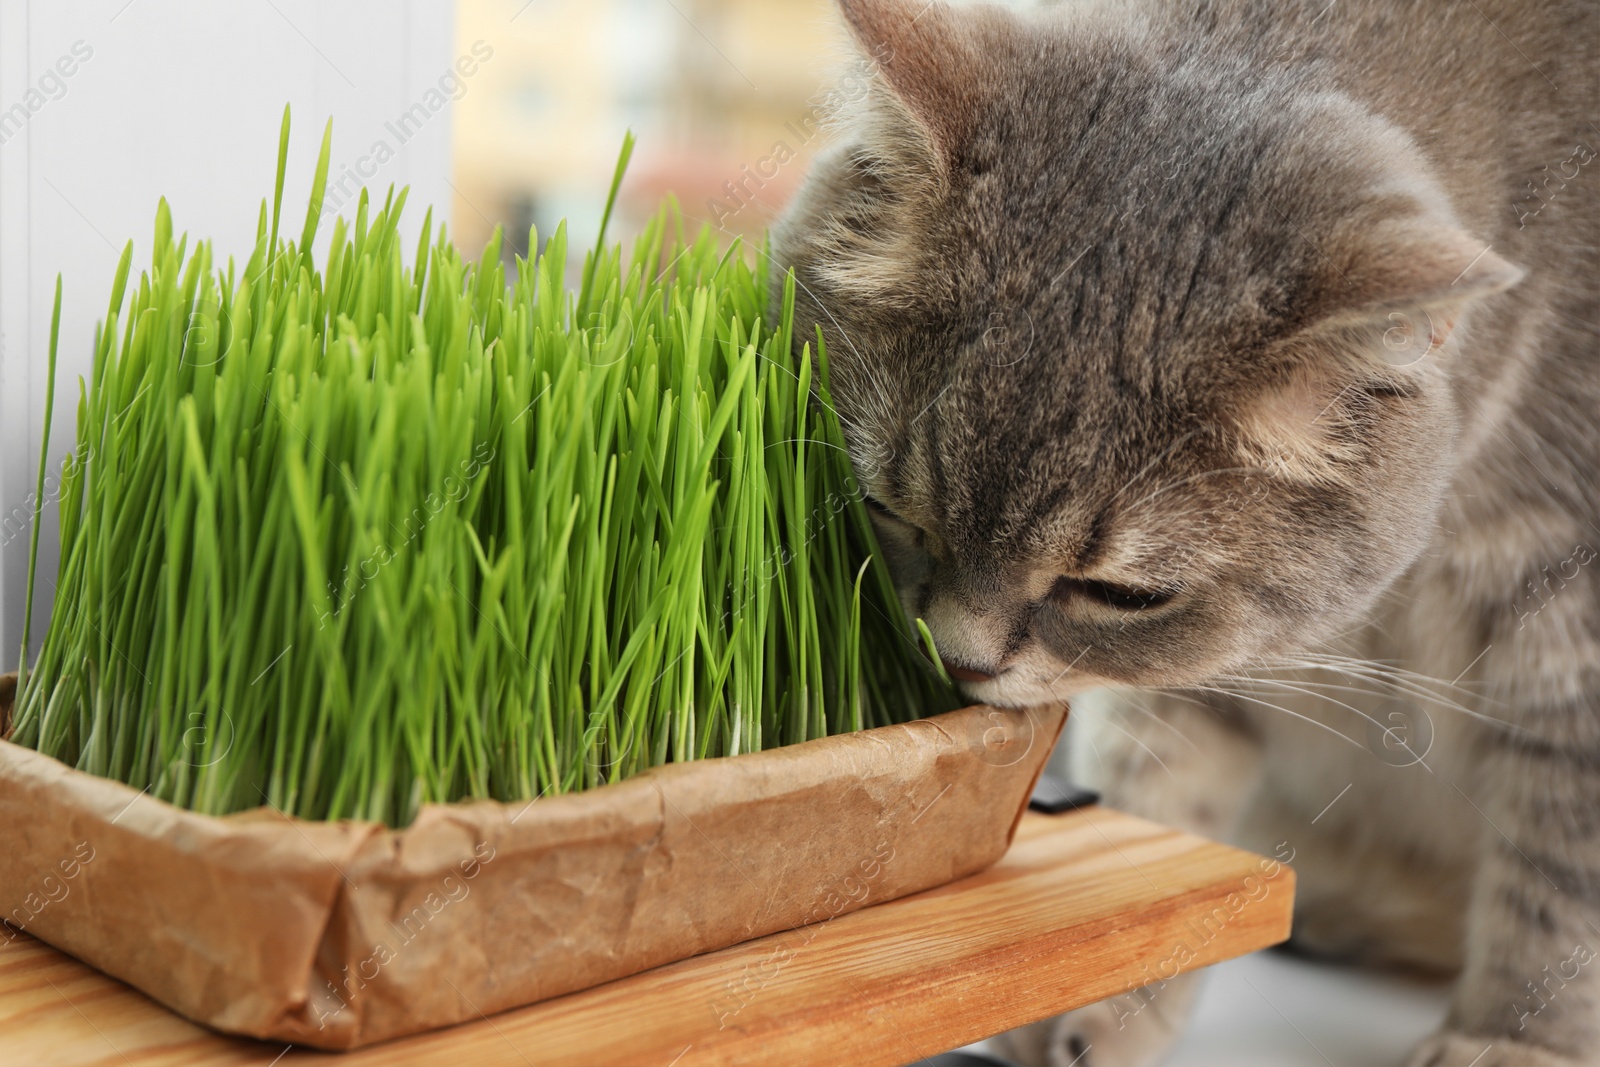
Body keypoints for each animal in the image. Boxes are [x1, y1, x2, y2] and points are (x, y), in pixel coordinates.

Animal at [774, 0, 1600, 1062]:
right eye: (887, 510)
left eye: (1120, 593)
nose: (958, 661)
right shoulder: (1194, 678)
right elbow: (1157, 791)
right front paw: (1103, 1004)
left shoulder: (1568, 629)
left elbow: (1560, 875)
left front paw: (1515, 1038)